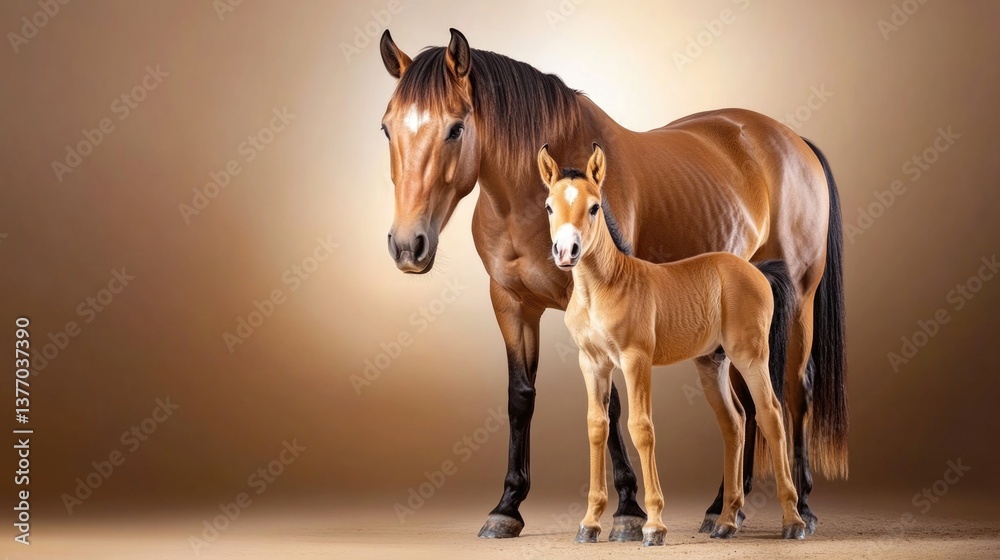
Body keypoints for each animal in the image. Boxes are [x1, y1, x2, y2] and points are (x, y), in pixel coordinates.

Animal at [539, 143, 805, 545]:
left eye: (594, 206)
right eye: (550, 207)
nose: (566, 251)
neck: (601, 288)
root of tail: (756, 270)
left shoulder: (635, 360)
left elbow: (641, 428)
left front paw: (653, 526)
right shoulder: (592, 363)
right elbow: (597, 427)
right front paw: (589, 523)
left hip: (751, 355)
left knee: (770, 414)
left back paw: (793, 521)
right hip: (713, 363)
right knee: (734, 422)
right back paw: (726, 521)